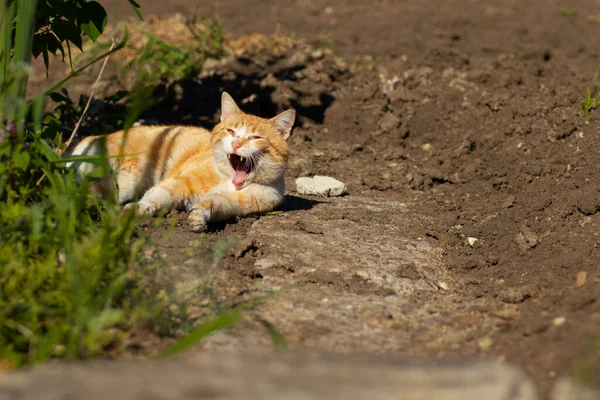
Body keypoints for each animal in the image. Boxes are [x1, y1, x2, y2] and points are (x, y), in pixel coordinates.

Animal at [70, 92, 296, 231]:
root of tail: (98, 137)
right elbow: (157, 195)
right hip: (124, 182)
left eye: (255, 137)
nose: (236, 144)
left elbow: (212, 205)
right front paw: (140, 208)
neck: (228, 180)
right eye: (231, 131)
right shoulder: (178, 183)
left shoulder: (229, 203)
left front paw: (198, 217)